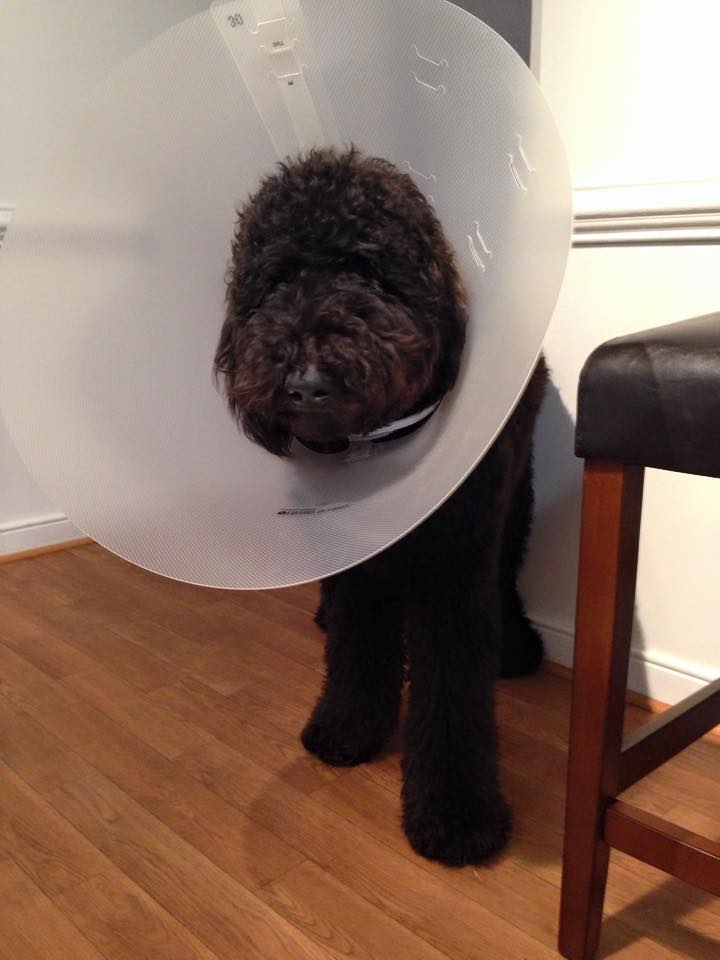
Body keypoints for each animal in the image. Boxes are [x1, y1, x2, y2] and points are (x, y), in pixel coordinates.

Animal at [215, 147, 546, 866]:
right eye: (277, 278)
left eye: (365, 268)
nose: (306, 378)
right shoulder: (357, 565)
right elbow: (356, 644)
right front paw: (347, 728)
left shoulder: (453, 574)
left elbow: (451, 690)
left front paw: (455, 817)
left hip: (517, 499)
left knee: (509, 571)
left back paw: (518, 646)